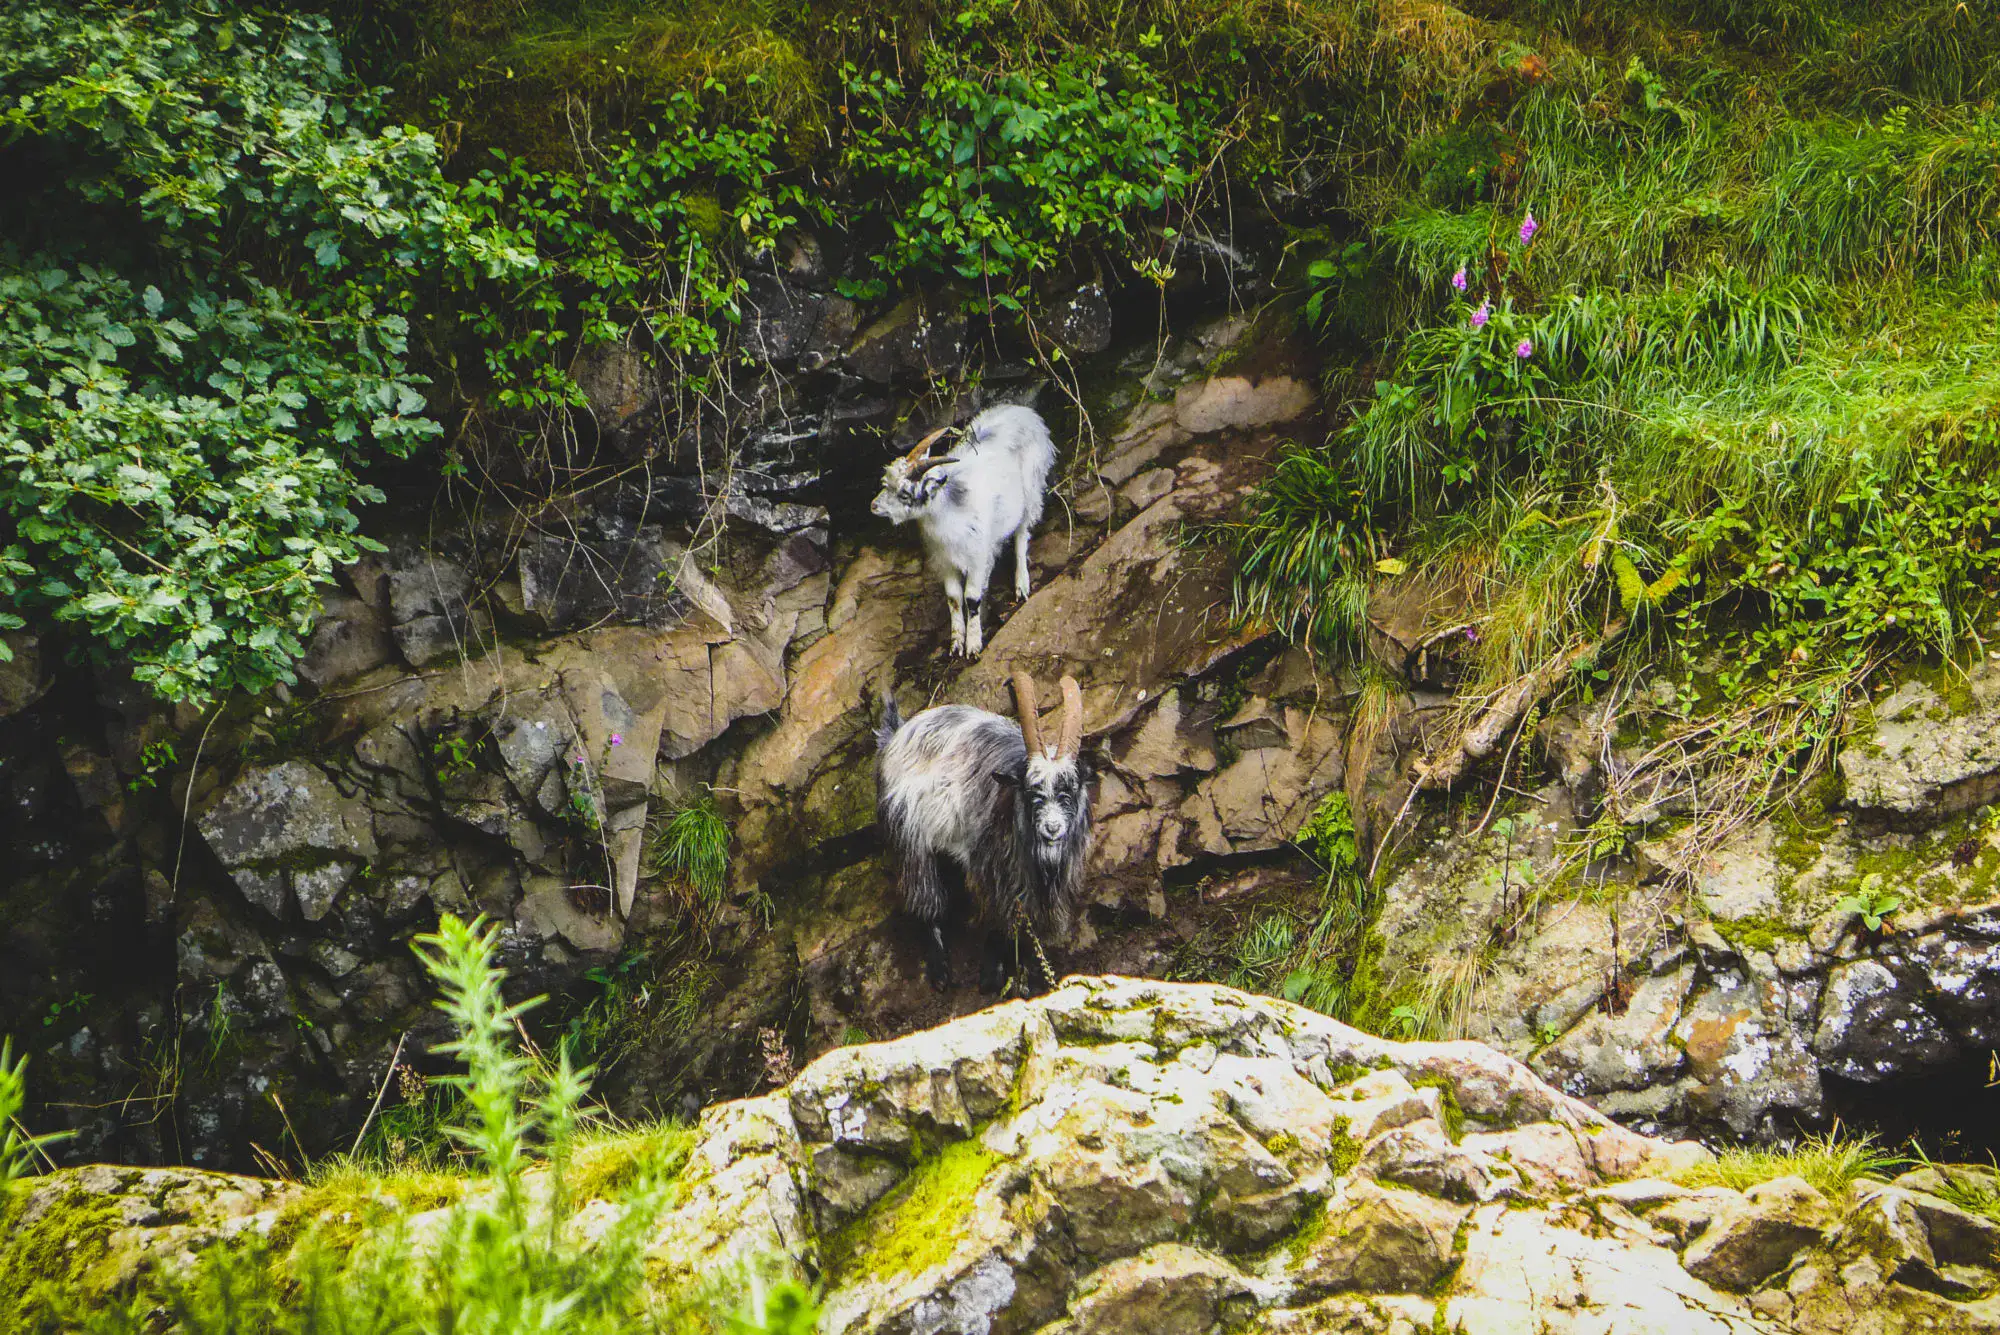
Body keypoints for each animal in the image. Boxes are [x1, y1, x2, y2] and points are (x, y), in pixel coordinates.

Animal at [876, 407, 1064, 655]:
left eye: (905, 494)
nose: (874, 506)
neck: (949, 510)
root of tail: (1025, 412)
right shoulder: (944, 560)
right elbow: (954, 598)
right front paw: (956, 643)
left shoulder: (976, 556)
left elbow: (971, 598)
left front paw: (973, 645)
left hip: (1031, 489)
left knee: (1022, 534)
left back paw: (1021, 584)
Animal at [880, 671, 1096, 987]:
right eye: (1031, 791)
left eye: (1070, 790)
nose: (1052, 828)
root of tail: (896, 733)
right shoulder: (992, 870)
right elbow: (999, 919)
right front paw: (991, 976)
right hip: (910, 836)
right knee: (927, 898)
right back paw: (940, 972)